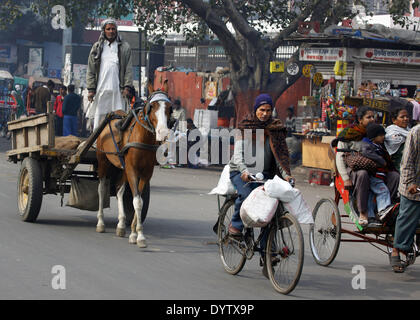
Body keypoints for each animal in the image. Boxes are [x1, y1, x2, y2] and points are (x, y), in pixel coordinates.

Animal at [96, 81, 171, 249]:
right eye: (152, 106)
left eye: (169, 108)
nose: (163, 133)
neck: (143, 138)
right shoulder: (132, 170)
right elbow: (137, 201)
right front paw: (140, 236)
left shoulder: (146, 173)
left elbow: (139, 200)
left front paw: (134, 234)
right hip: (103, 160)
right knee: (102, 188)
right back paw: (101, 222)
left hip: (122, 167)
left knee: (119, 190)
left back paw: (121, 225)